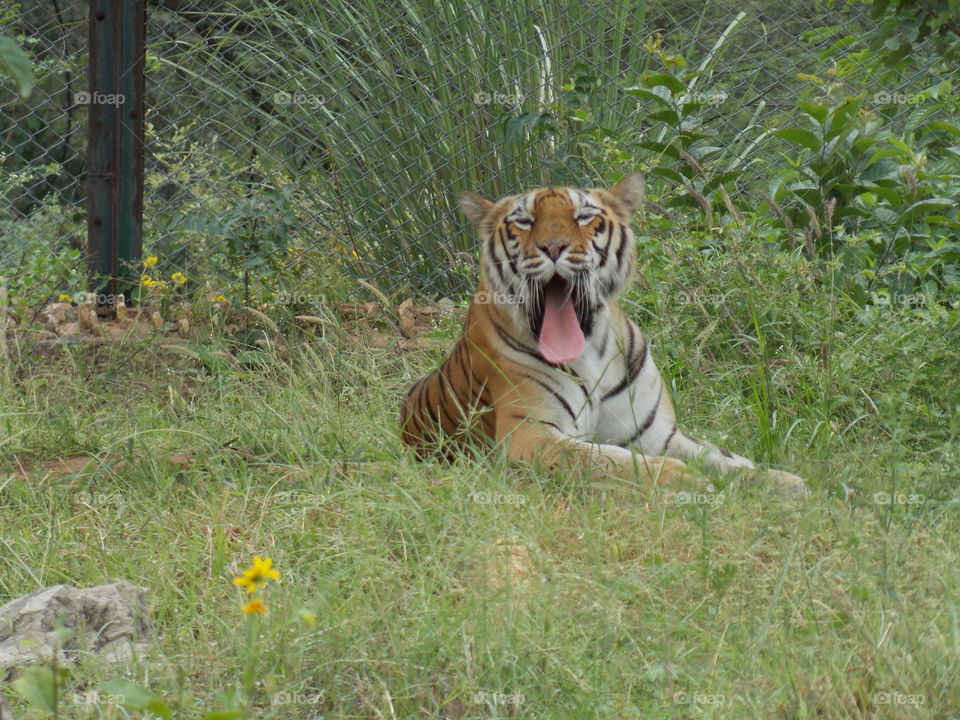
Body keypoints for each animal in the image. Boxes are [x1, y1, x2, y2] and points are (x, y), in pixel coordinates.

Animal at [399, 174, 807, 494]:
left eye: (583, 217)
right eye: (525, 222)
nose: (553, 247)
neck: (591, 351)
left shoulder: (657, 434)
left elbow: (726, 459)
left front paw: (785, 483)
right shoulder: (530, 438)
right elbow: (613, 461)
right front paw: (689, 481)